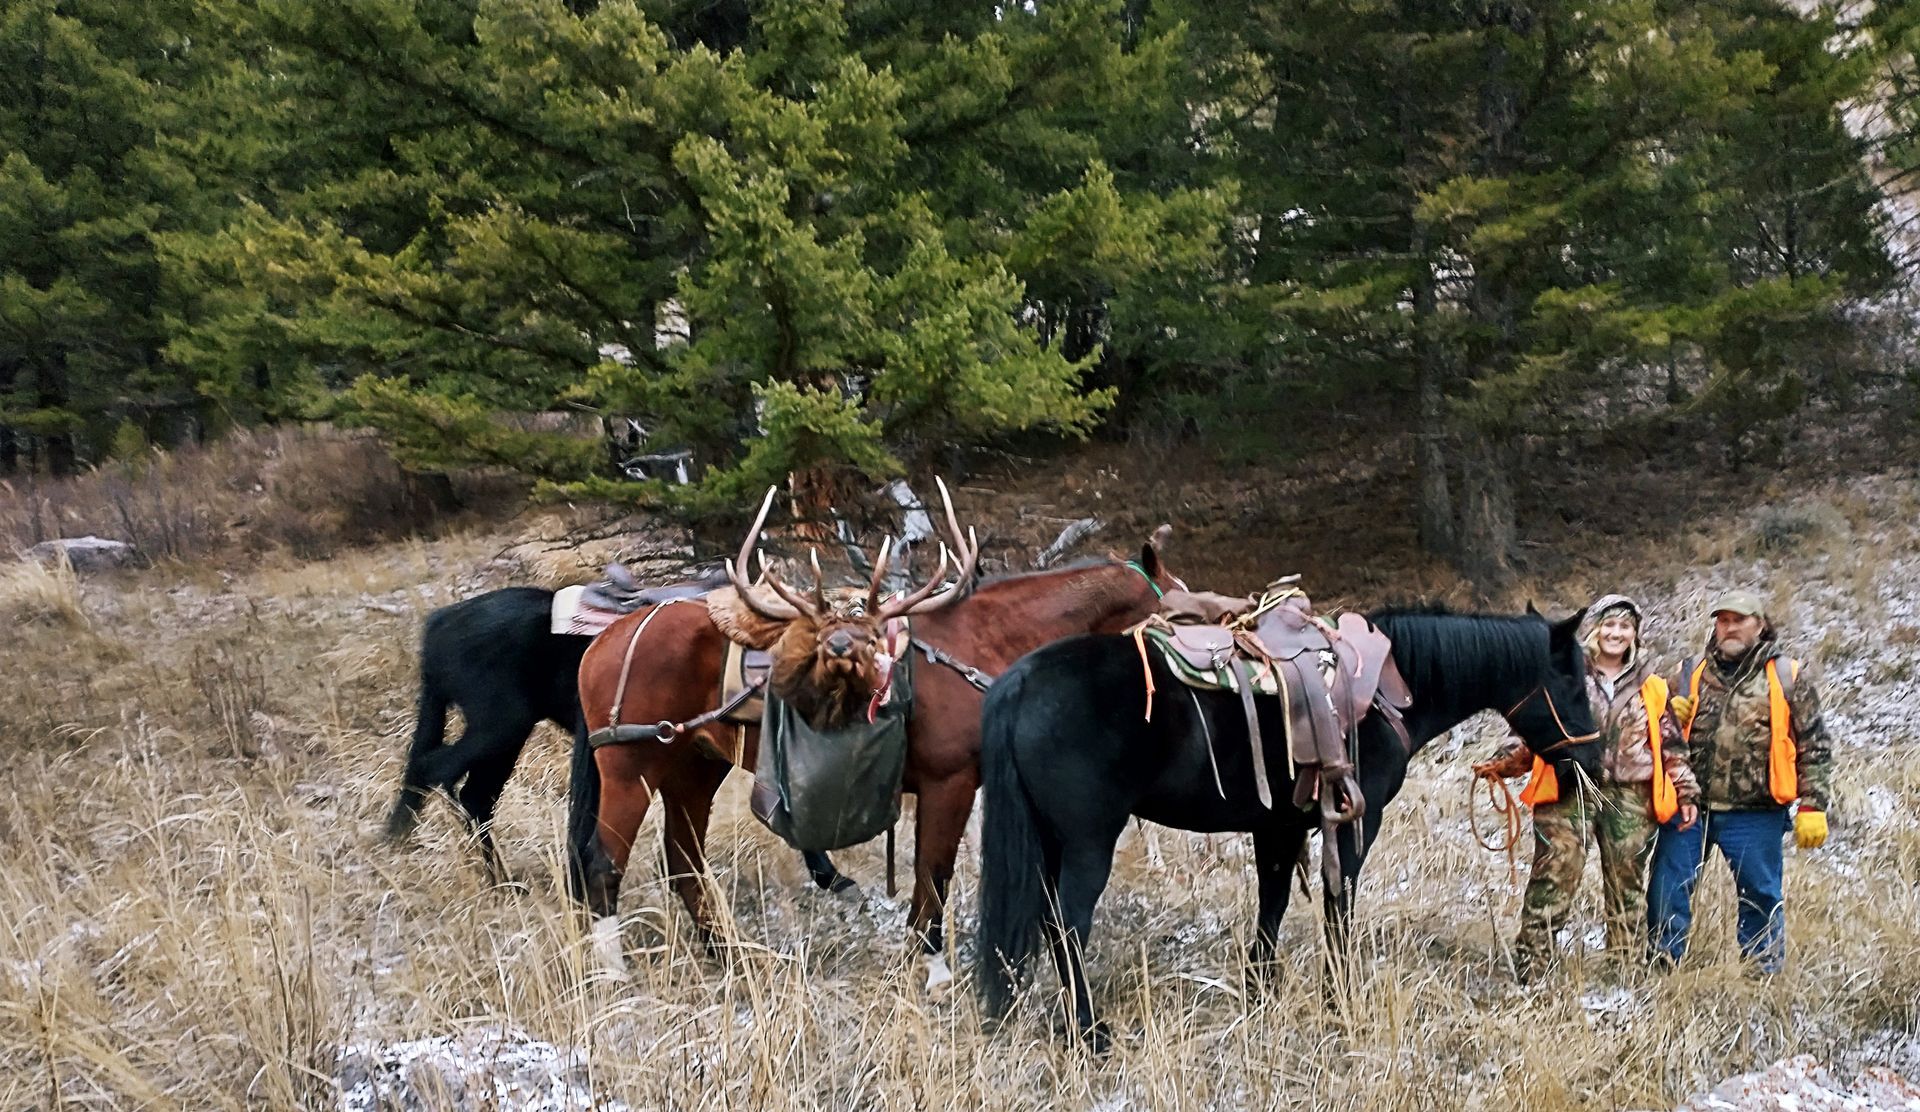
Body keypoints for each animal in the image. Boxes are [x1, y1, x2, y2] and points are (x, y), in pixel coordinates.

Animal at [383, 584, 849, 893]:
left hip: (506, 734)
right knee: (437, 770)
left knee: (473, 795)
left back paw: (499, 881)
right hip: (500, 725)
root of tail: (439, 623)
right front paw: (830, 875)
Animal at [570, 486, 1185, 984]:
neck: (979, 641)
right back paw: (615, 972)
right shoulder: (948, 781)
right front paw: (932, 970)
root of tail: (601, 644)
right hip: (629, 767)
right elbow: (933, 875)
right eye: (1182, 611)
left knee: (684, 863)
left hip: (695, 768)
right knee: (604, 865)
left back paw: (731, 957)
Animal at [974, 604, 1603, 1050]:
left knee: (1047, 923)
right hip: (1087, 842)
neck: (1387, 689)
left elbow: (1272, 902)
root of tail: (1020, 680)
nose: (1594, 761)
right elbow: (1337, 906)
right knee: (1068, 926)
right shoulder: (1354, 823)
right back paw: (1089, 1034)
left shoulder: (1277, 827)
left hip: (1051, 841)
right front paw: (1337, 1001)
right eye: (1573, 683)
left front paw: (1261, 993)